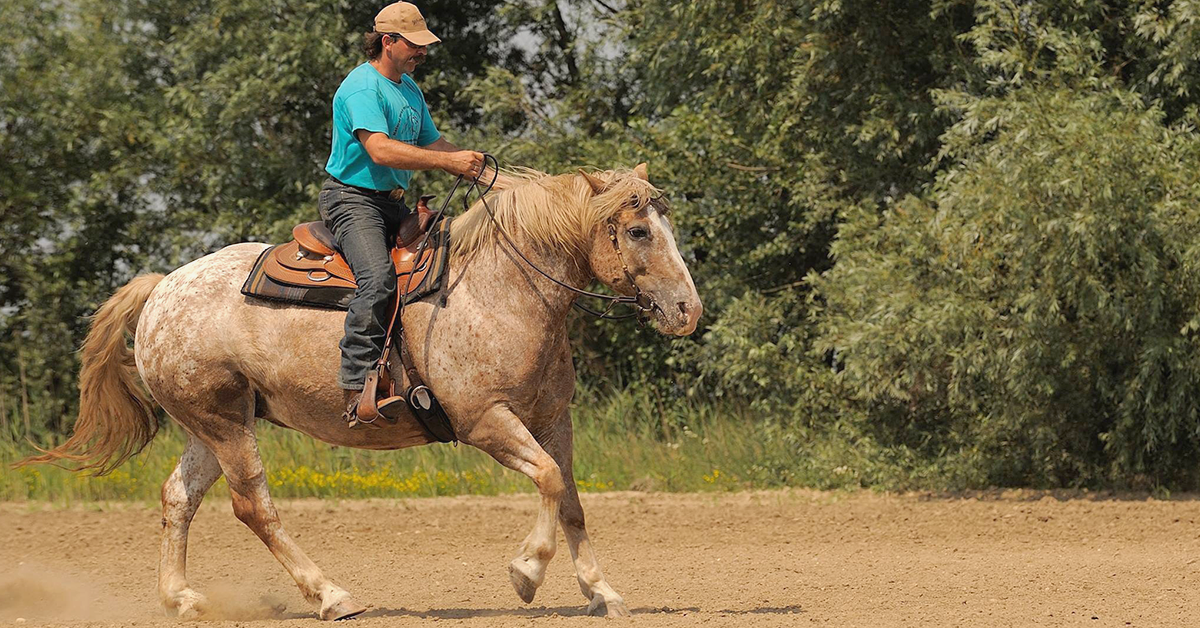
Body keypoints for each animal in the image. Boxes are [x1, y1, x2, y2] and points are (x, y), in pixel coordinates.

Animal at [21, 164, 700, 619]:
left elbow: (573, 501)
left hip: (212, 425)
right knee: (253, 506)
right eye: (638, 230)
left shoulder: (554, 419)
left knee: (177, 497)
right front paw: (526, 572)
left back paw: (182, 598)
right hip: (225, 425)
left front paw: (603, 592)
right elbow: (551, 482)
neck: (501, 289)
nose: (687, 310)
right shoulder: (487, 420)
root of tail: (162, 288)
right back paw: (331, 595)